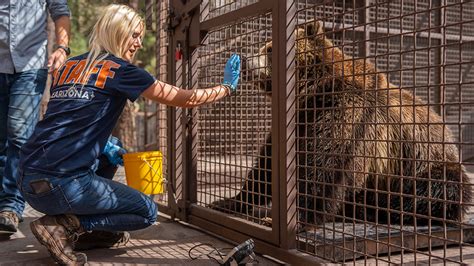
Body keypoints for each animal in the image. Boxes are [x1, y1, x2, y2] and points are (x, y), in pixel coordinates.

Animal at [213, 19, 472, 225]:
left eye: (269, 49)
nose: (245, 60)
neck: (314, 91)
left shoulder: (348, 115)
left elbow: (325, 168)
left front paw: (297, 216)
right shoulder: (302, 120)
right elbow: (267, 165)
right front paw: (229, 201)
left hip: (427, 163)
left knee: (438, 189)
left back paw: (374, 208)